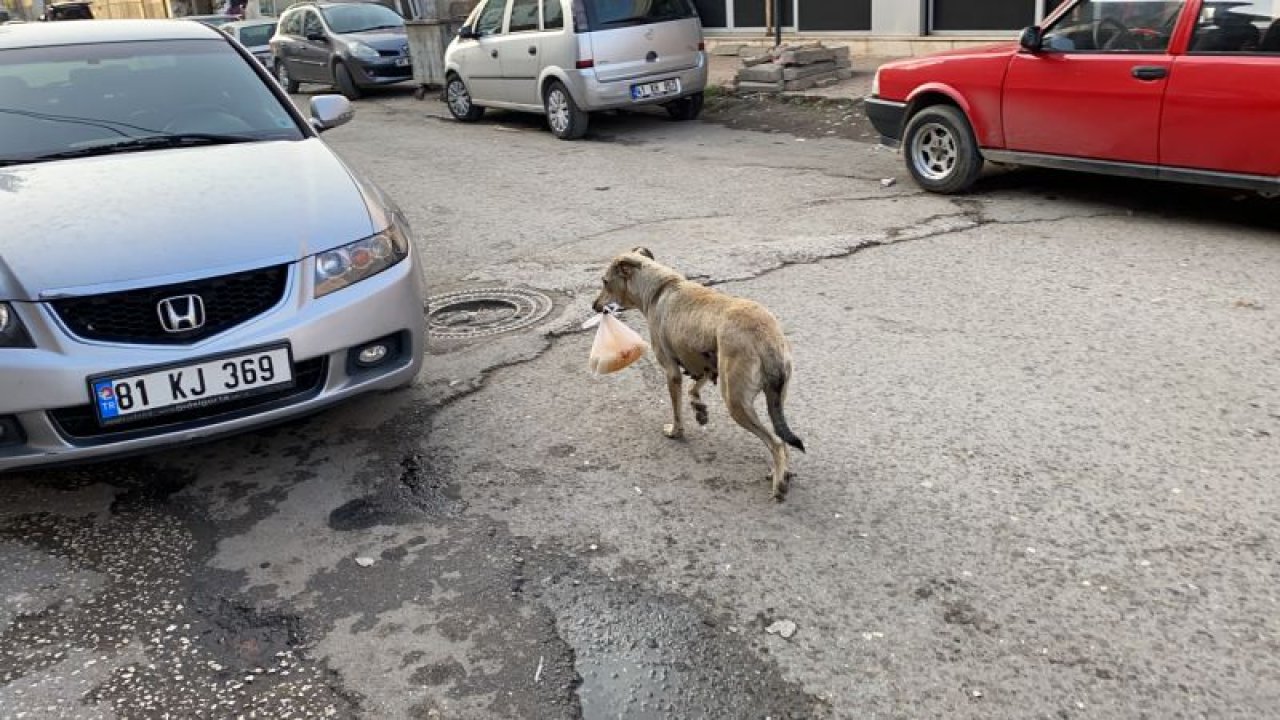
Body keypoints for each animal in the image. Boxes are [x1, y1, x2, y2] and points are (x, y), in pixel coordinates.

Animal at [588, 245, 798, 499]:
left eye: (605, 281)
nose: (594, 305)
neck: (659, 288)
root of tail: (765, 337)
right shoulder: (704, 365)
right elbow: (693, 388)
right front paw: (699, 409)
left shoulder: (671, 372)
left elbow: (677, 410)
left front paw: (675, 431)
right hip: (774, 398)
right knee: (781, 440)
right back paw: (780, 471)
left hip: (736, 402)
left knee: (775, 442)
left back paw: (779, 484)